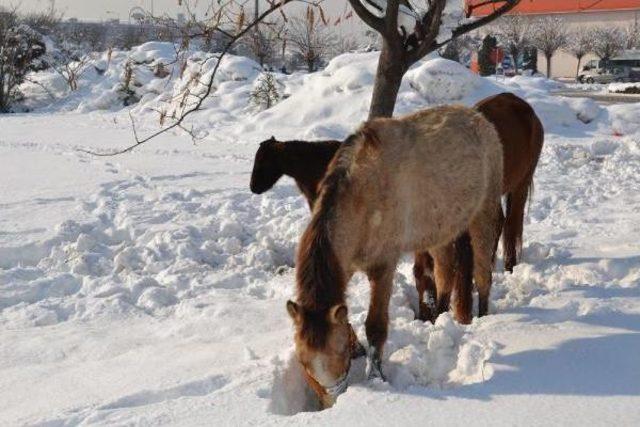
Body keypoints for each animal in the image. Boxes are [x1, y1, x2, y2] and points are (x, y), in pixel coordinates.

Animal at [288, 106, 502, 408]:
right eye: (304, 362)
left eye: (340, 355)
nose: (332, 402)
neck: (361, 198)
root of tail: (479, 118)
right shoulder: (345, 266)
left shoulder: (383, 267)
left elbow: (375, 327)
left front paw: (377, 378)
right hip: (440, 231)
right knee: (445, 273)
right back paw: (438, 319)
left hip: (484, 213)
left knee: (483, 274)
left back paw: (483, 318)